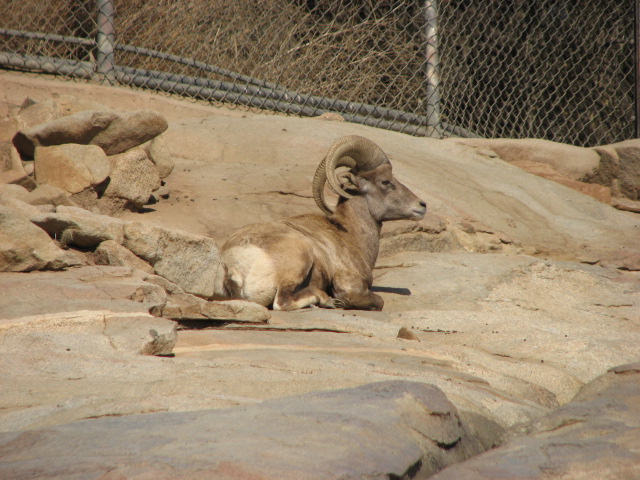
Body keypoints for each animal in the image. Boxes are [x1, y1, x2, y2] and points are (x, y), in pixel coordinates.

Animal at [213, 135, 426, 311]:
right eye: (385, 182)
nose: (422, 205)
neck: (351, 236)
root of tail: (235, 264)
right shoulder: (352, 287)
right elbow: (379, 301)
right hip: (301, 256)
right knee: (282, 302)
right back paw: (328, 300)